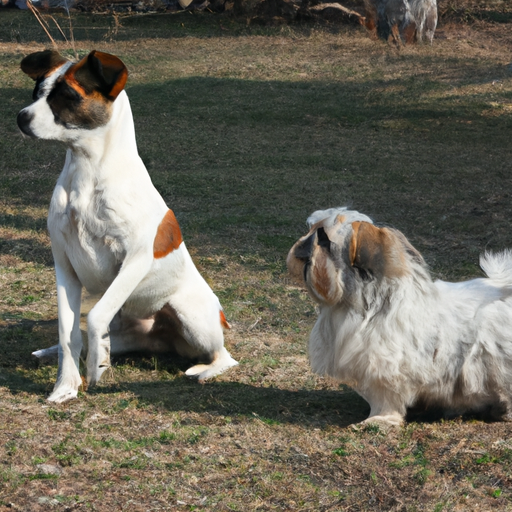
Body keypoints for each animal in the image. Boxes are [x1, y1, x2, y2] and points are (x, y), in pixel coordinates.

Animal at [18, 50, 238, 402]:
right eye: (37, 91)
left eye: (68, 95)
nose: (20, 118)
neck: (87, 175)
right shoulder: (64, 266)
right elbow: (69, 332)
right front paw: (66, 386)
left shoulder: (135, 260)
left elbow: (95, 315)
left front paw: (95, 368)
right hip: (129, 333)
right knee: (85, 337)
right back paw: (55, 352)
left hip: (191, 317)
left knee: (226, 356)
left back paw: (202, 371)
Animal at [286, 206, 512, 426]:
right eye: (311, 229)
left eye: (324, 239)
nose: (303, 243)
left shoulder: (385, 367)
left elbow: (386, 400)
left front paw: (379, 419)